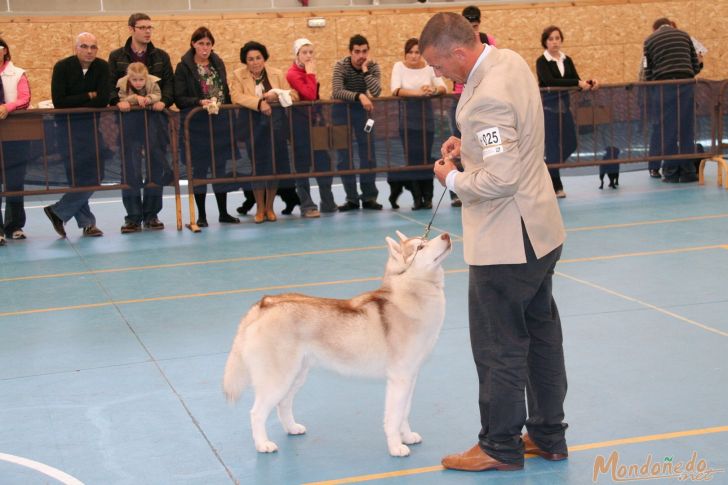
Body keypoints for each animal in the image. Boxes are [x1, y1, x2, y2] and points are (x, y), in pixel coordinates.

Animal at [222, 230, 450, 454]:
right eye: (420, 247)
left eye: (426, 240)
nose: (446, 235)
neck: (409, 296)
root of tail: (265, 303)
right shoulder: (399, 377)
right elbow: (394, 417)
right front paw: (395, 446)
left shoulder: (410, 376)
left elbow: (404, 412)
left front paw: (407, 437)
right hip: (277, 379)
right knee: (257, 413)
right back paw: (263, 444)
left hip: (296, 375)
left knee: (283, 404)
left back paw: (292, 428)